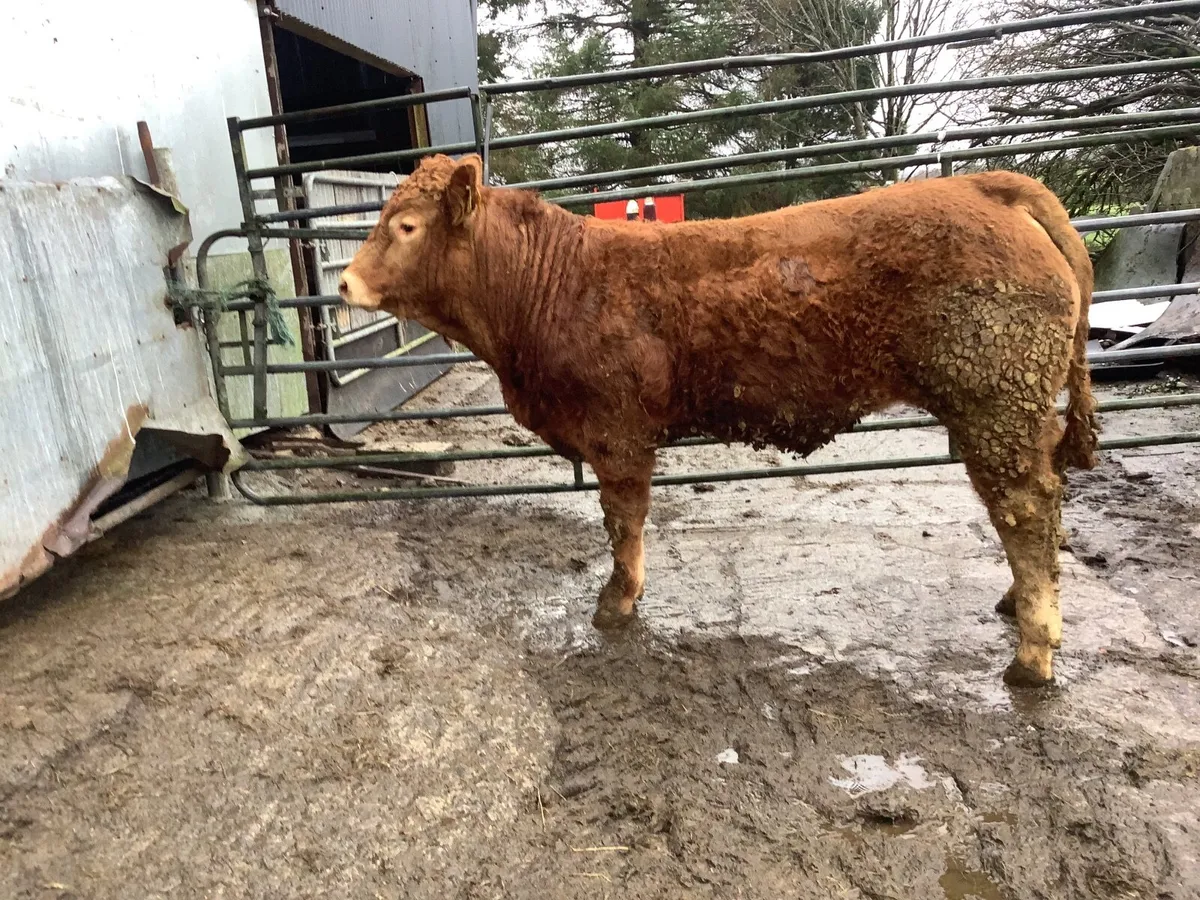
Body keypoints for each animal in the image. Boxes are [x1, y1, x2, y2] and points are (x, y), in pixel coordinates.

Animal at [339, 154, 1099, 687]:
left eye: (405, 226)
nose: (344, 282)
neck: (546, 286)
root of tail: (987, 187)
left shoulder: (616, 428)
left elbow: (623, 519)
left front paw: (617, 602)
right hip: (1014, 410)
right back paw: (1015, 605)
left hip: (993, 401)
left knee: (1025, 509)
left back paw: (1033, 653)